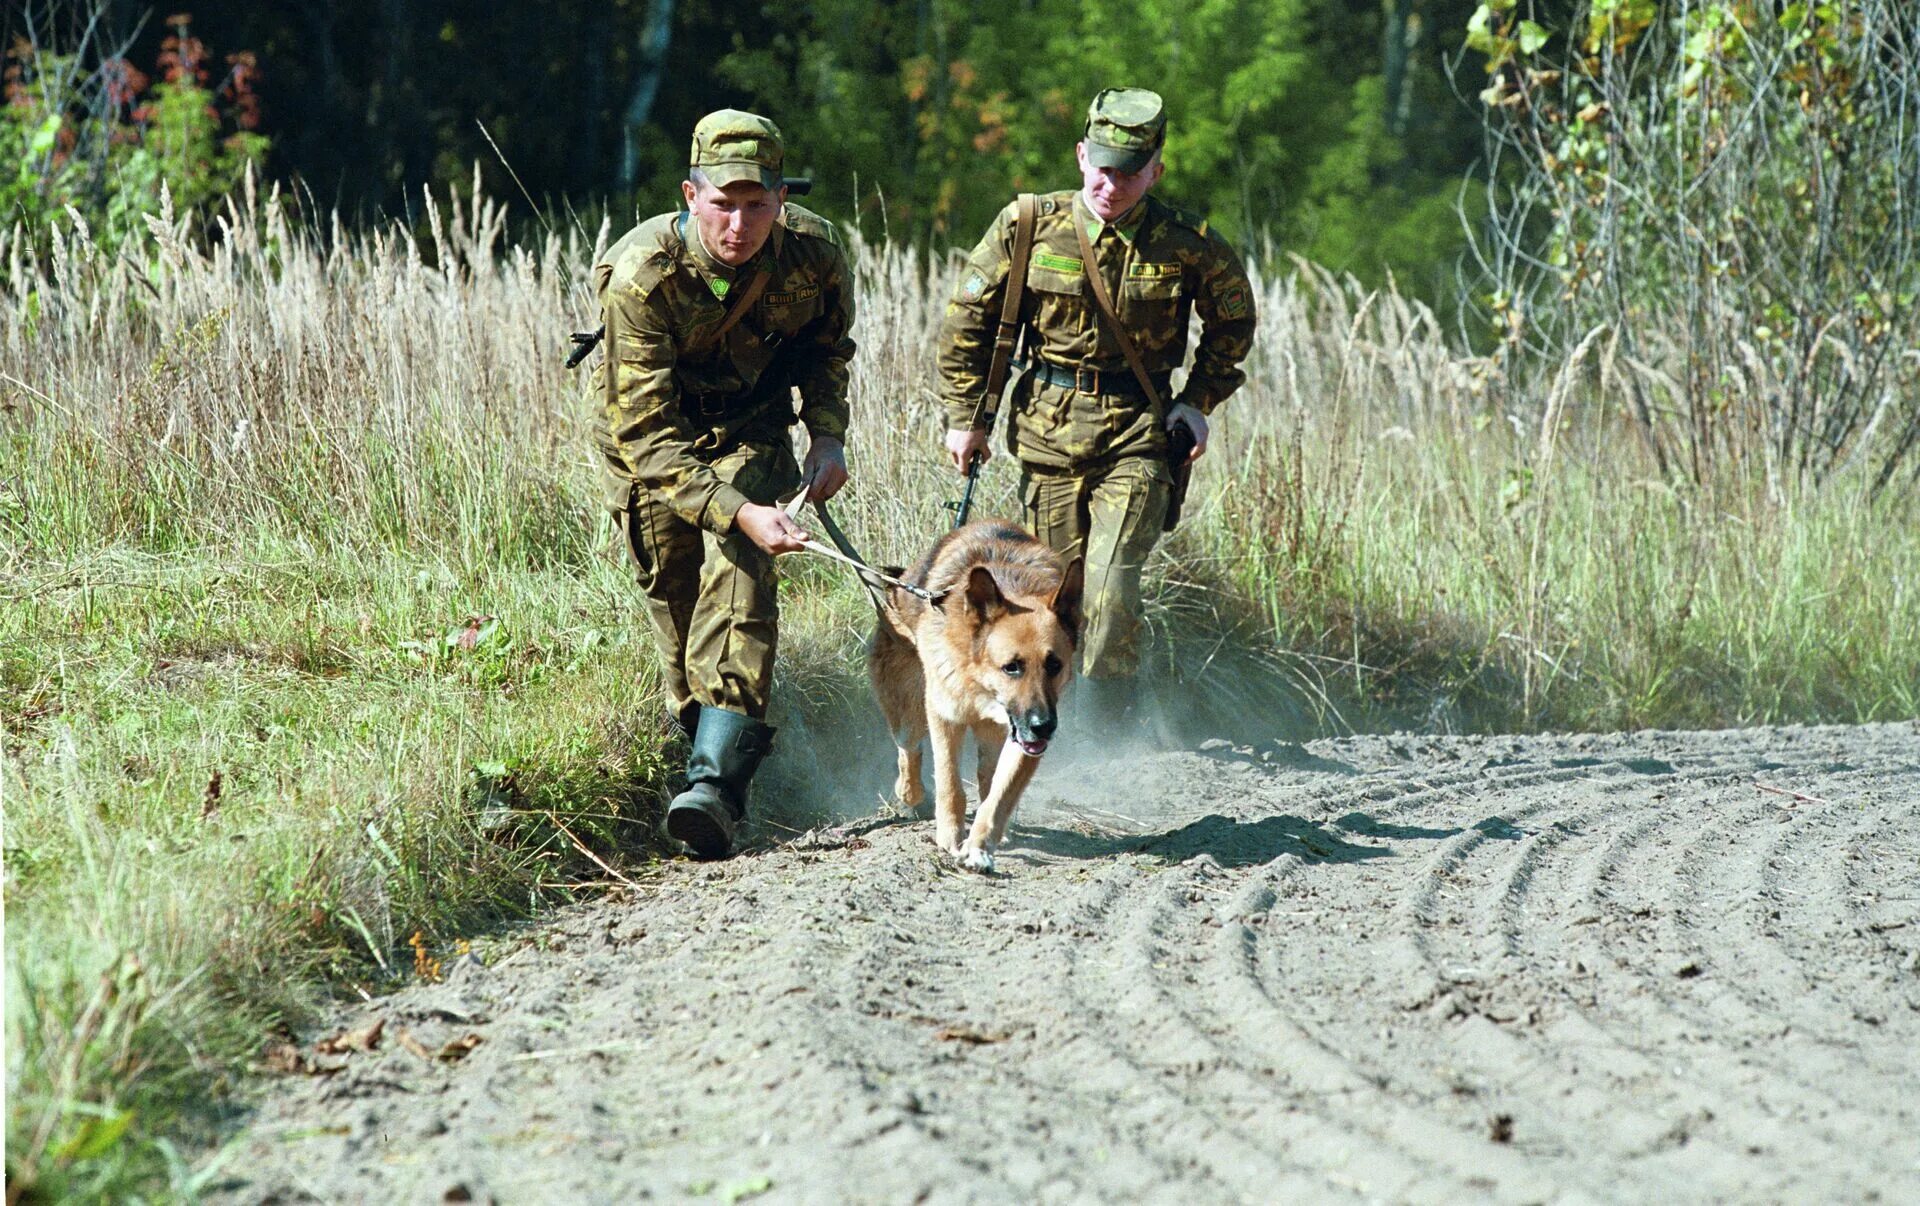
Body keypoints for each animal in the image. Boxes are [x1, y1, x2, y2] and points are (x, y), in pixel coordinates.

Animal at [871, 522, 1082, 871]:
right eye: (1012, 667)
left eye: (1054, 665)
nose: (1043, 727)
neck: (979, 681)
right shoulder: (945, 716)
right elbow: (950, 784)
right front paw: (949, 837)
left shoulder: (1020, 739)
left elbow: (999, 795)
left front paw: (978, 846)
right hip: (911, 708)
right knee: (909, 749)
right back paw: (910, 794)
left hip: (994, 735)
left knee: (987, 776)